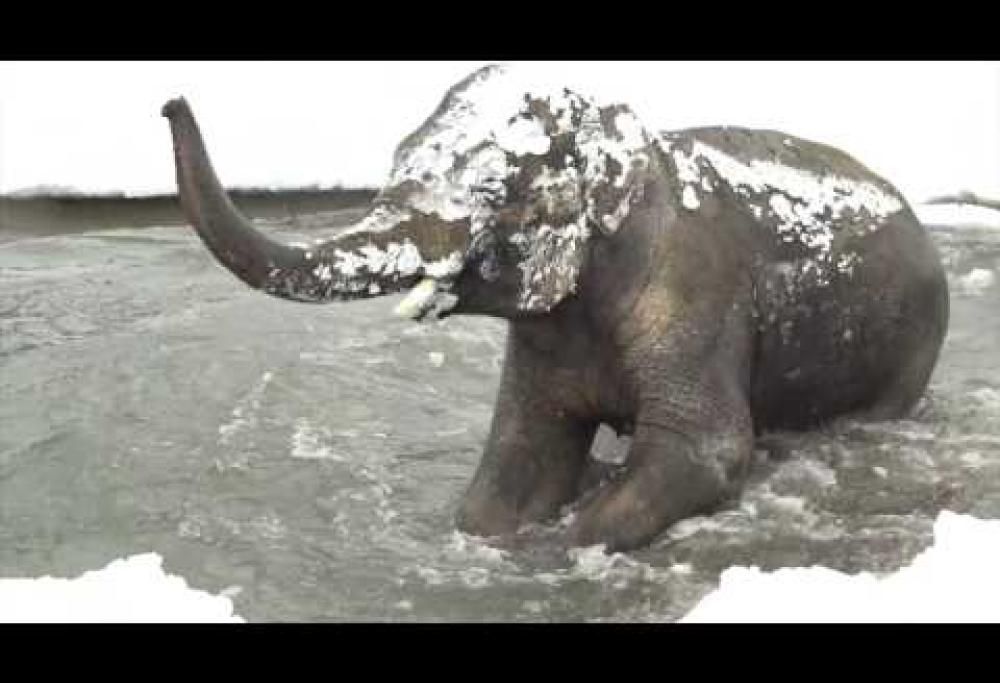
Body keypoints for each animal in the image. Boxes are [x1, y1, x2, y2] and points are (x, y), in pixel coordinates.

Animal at [161, 64, 949, 552]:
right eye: (396, 156)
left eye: (490, 193)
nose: (168, 102)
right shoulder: (546, 333)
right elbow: (515, 465)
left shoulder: (696, 298)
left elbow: (706, 452)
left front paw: (568, 539)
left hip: (912, 346)